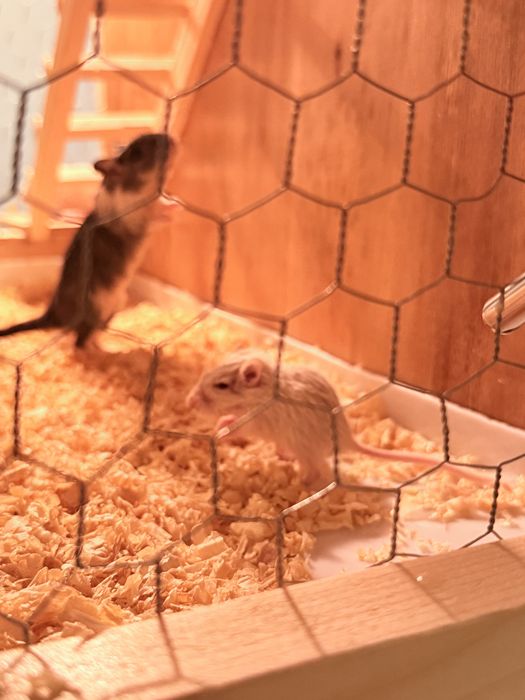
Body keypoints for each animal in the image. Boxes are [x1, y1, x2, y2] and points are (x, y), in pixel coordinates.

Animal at [0, 133, 176, 348]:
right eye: (139, 153)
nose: (171, 139)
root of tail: (53, 315)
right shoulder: (136, 218)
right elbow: (156, 216)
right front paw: (173, 208)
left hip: (116, 304)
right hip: (97, 307)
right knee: (80, 340)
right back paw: (96, 351)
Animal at [186, 349, 494, 487]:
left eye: (221, 386)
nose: (189, 402)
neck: (262, 393)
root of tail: (348, 440)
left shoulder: (257, 420)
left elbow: (238, 426)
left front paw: (220, 429)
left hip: (306, 450)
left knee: (316, 472)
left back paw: (299, 486)